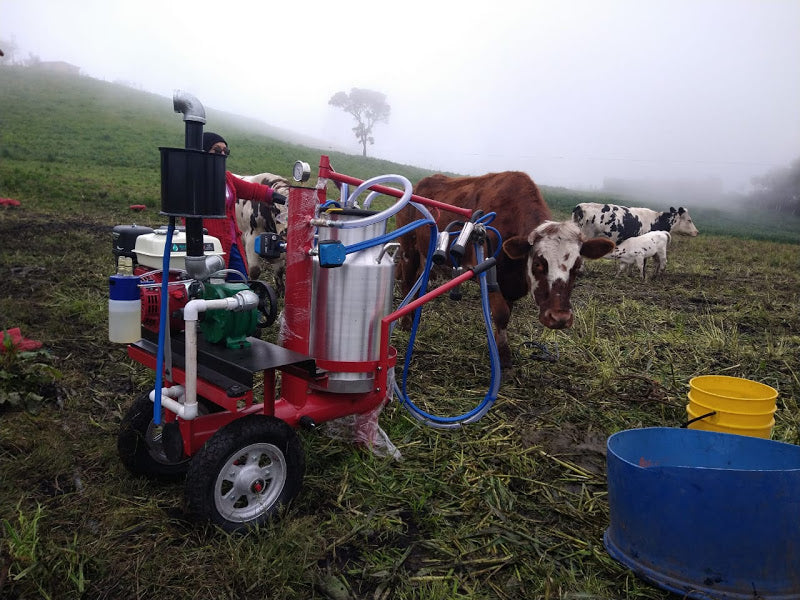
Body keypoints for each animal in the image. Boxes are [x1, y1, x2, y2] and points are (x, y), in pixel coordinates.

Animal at [396, 171, 616, 368]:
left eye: (577, 267)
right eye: (538, 263)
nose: (559, 318)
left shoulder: (510, 284)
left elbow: (506, 316)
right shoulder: (489, 273)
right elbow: (500, 313)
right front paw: (503, 358)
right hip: (408, 249)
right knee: (407, 282)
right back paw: (406, 323)